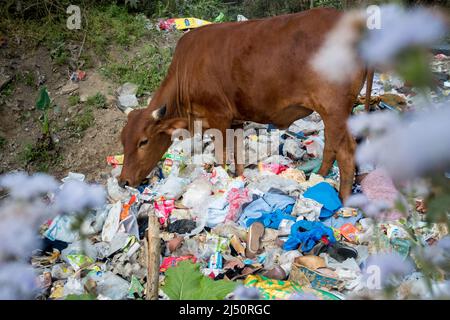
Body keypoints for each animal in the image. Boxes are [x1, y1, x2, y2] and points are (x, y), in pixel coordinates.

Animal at [118, 8, 370, 200]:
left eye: (143, 141)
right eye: (123, 141)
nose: (123, 181)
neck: (185, 71)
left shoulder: (218, 118)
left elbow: (222, 156)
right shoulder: (235, 120)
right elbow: (237, 152)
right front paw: (238, 179)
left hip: (334, 110)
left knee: (345, 151)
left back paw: (341, 199)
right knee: (332, 146)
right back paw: (320, 178)